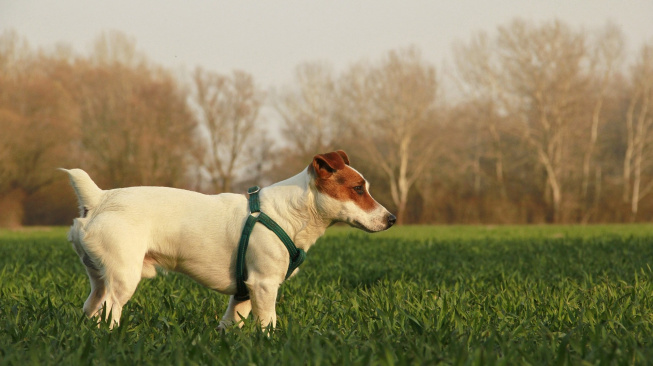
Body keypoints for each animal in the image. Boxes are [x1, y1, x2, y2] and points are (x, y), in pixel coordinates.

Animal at [63, 150, 394, 330]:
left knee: (91, 309)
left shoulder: (244, 292)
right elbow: (268, 324)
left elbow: (230, 323)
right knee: (110, 312)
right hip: (123, 279)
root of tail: (100, 198)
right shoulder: (264, 284)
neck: (289, 213)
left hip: (99, 278)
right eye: (358, 189)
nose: (391, 219)